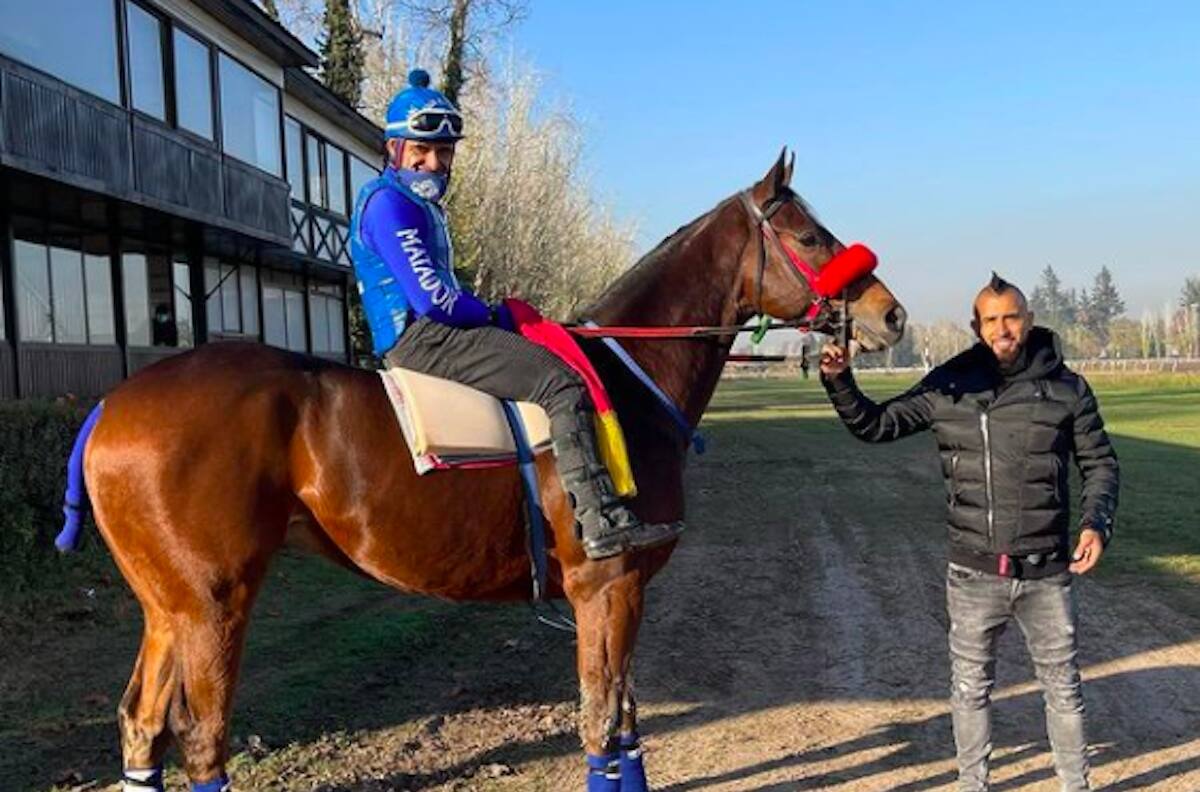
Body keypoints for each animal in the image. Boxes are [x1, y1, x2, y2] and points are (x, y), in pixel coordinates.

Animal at [71, 150, 906, 790]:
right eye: (812, 235)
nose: (891, 316)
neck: (627, 376)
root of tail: (111, 407)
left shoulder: (625, 593)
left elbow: (624, 724)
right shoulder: (608, 587)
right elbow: (601, 721)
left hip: (169, 609)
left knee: (142, 724)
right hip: (215, 606)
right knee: (201, 737)